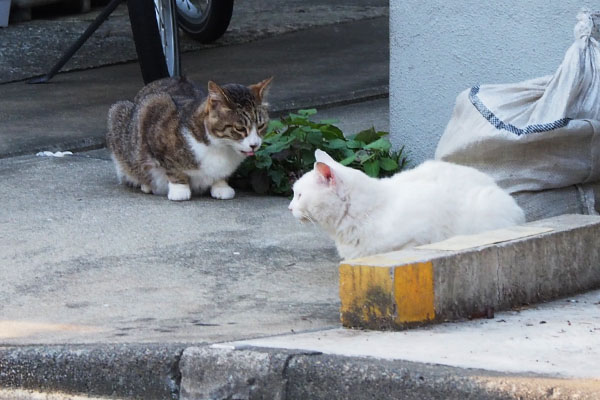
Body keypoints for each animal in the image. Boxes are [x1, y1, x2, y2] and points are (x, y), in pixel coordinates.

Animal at [106, 76, 272, 200]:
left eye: (261, 126)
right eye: (240, 128)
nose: (255, 144)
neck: (220, 147)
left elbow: (221, 175)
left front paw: (221, 185)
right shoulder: (155, 111)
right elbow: (172, 167)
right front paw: (180, 189)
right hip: (119, 113)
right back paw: (146, 184)